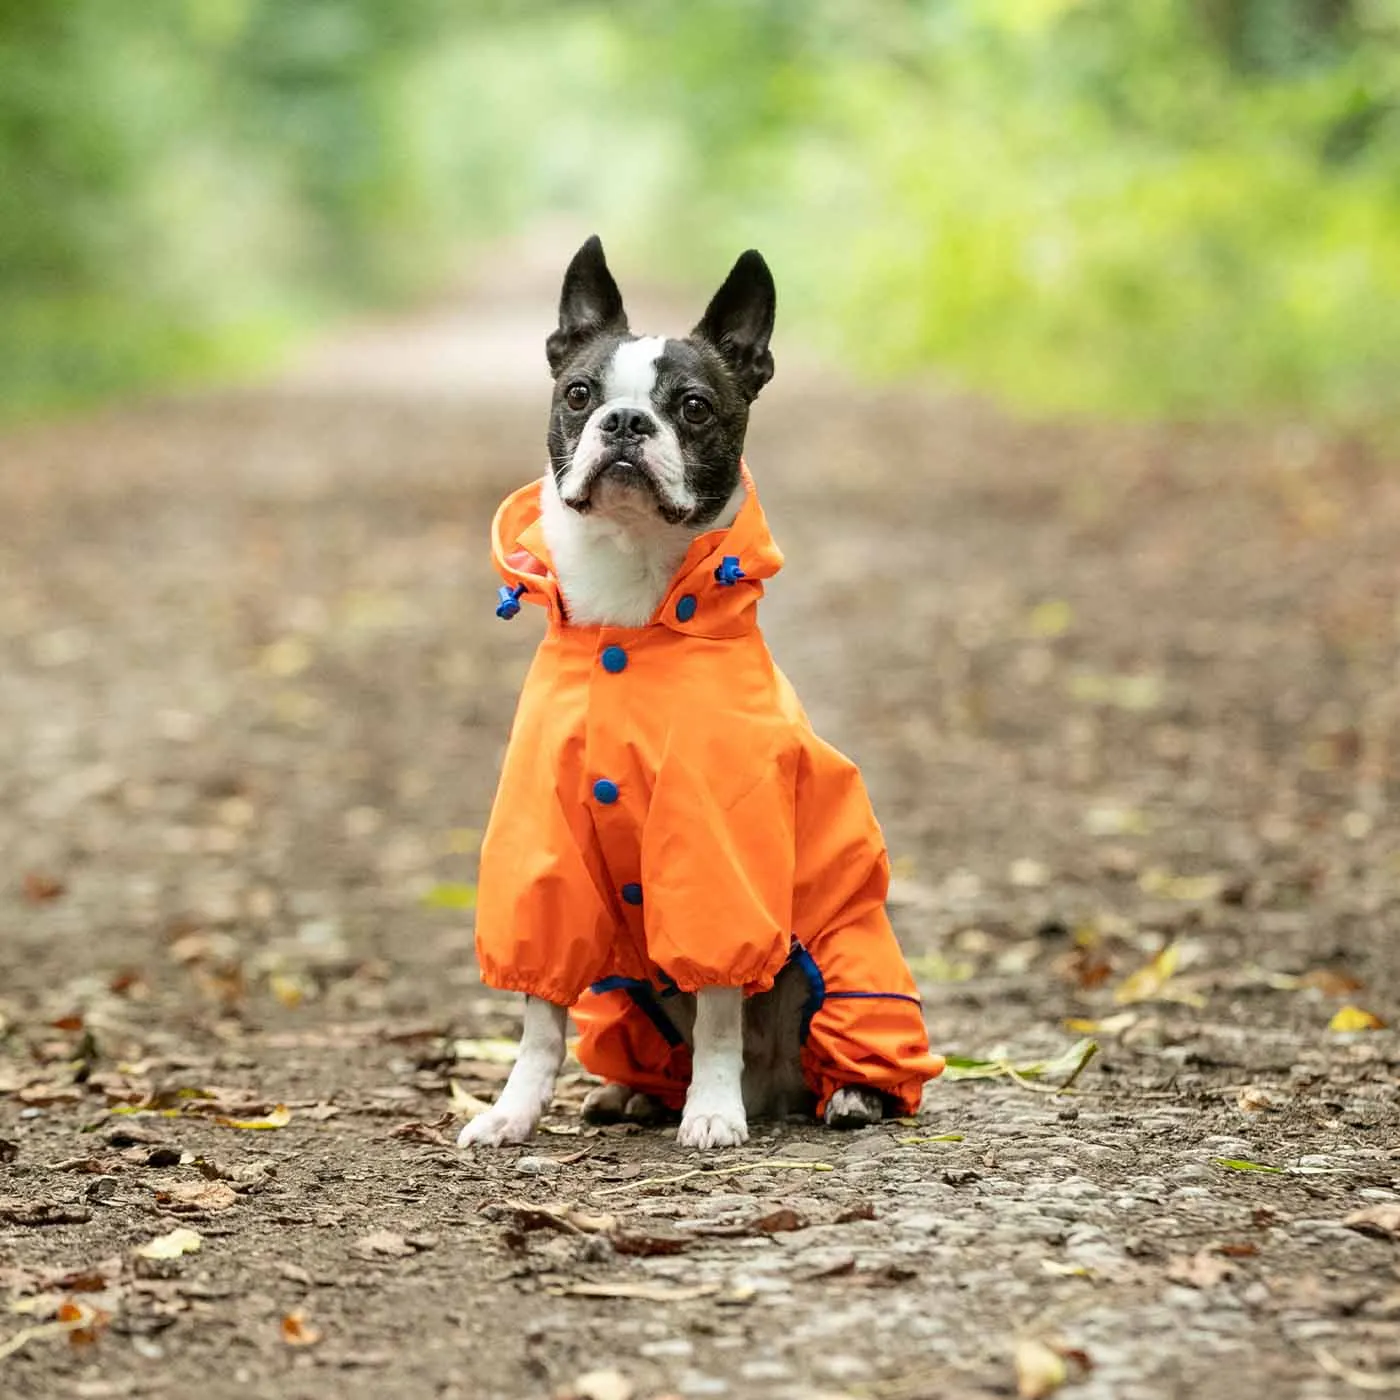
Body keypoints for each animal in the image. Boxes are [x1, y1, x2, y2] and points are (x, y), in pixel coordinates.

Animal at [459, 238, 940, 1148]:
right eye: (579, 394)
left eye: (693, 407)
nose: (625, 424)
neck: (629, 615)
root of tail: (779, 1088)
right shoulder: (545, 853)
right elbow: (540, 1016)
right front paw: (511, 1112)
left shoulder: (717, 854)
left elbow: (720, 1003)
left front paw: (712, 1111)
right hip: (626, 1000)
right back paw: (635, 1092)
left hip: (847, 958)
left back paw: (840, 1096)